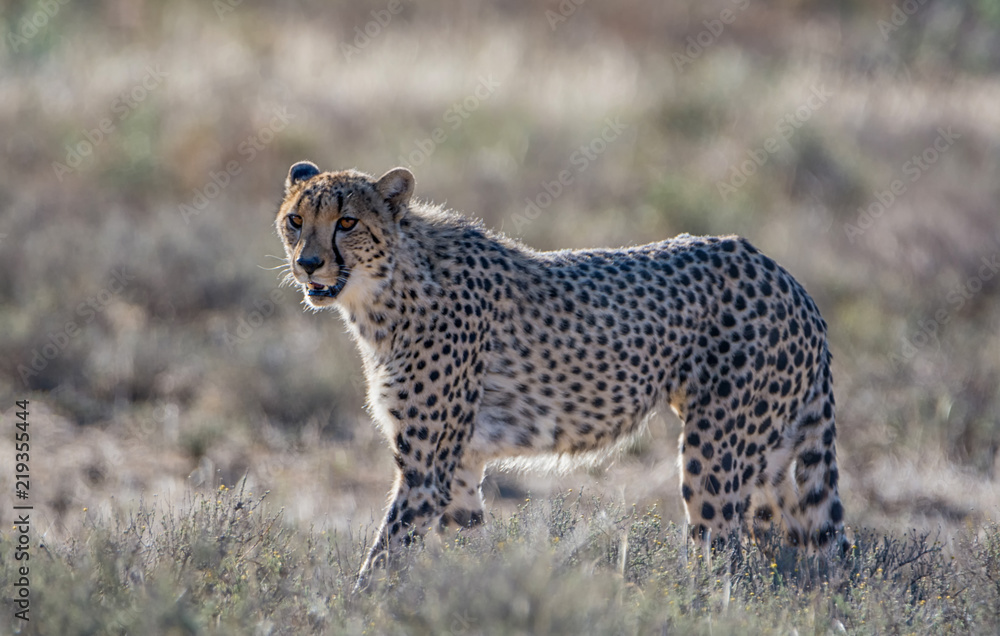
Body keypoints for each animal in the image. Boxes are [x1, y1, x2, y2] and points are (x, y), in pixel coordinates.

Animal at [274, 161, 846, 585]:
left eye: (347, 222)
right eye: (295, 220)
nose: (308, 264)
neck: (387, 290)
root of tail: (785, 276)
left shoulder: (426, 471)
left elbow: (381, 561)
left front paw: (352, 611)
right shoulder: (458, 470)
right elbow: (466, 546)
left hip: (717, 456)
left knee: (725, 561)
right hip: (773, 463)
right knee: (807, 560)